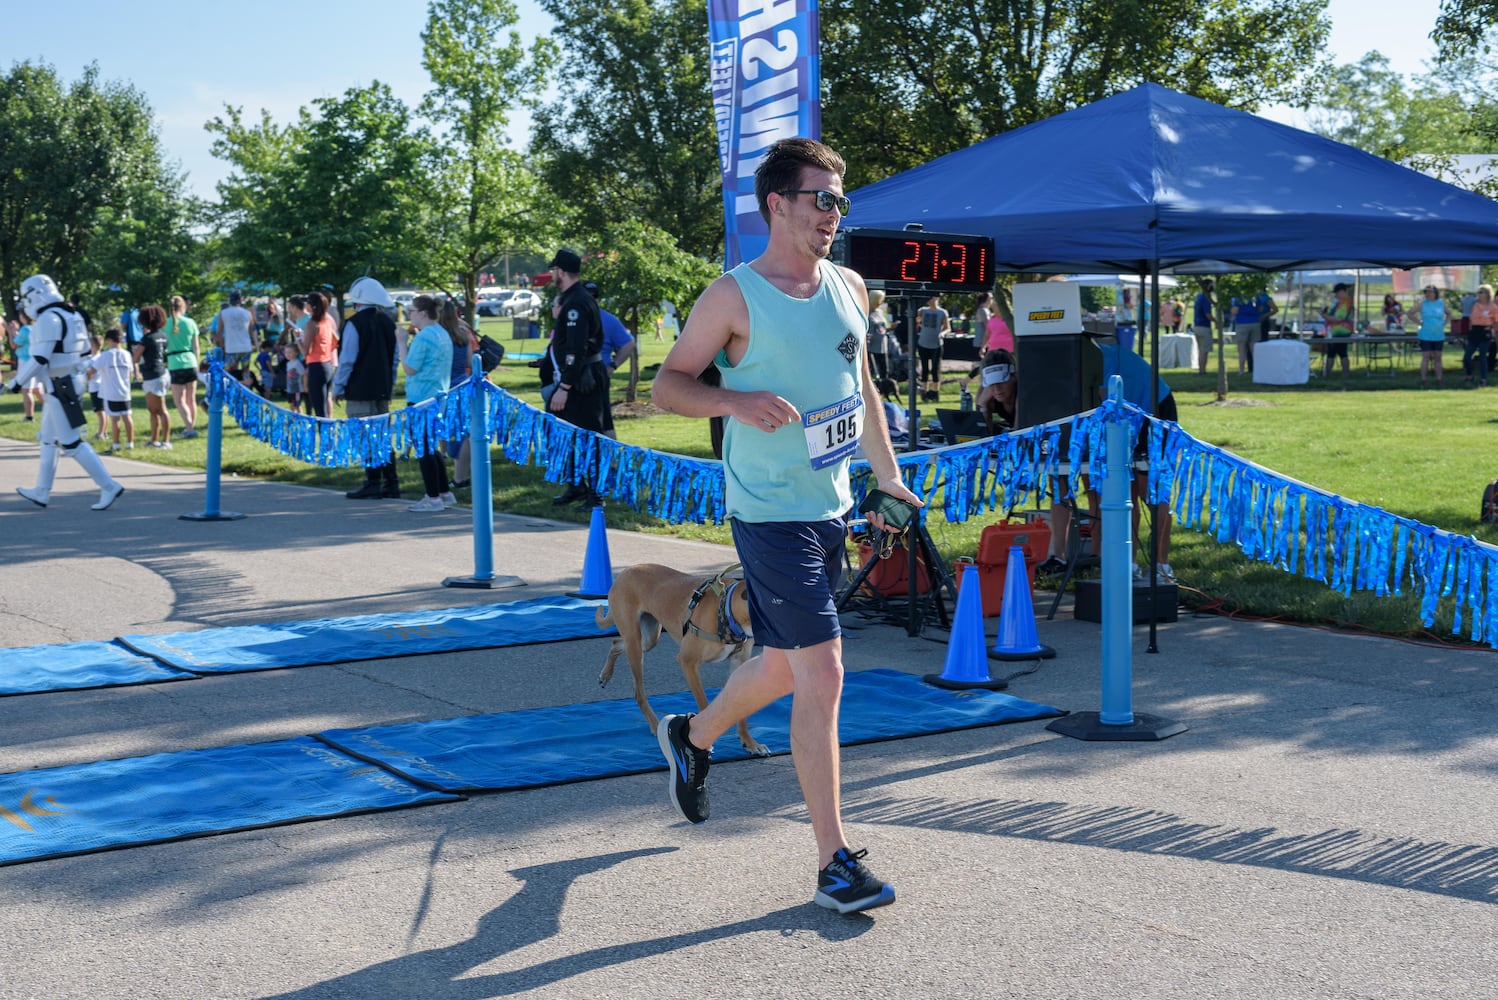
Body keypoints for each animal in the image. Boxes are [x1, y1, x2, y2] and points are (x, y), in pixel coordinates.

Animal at [593, 562, 772, 757]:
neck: (727, 612)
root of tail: (627, 570)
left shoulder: (739, 664)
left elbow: (742, 712)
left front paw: (750, 742)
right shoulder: (687, 661)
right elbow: (703, 703)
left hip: (647, 639)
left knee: (616, 642)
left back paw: (605, 674)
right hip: (635, 643)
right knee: (638, 693)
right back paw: (655, 724)